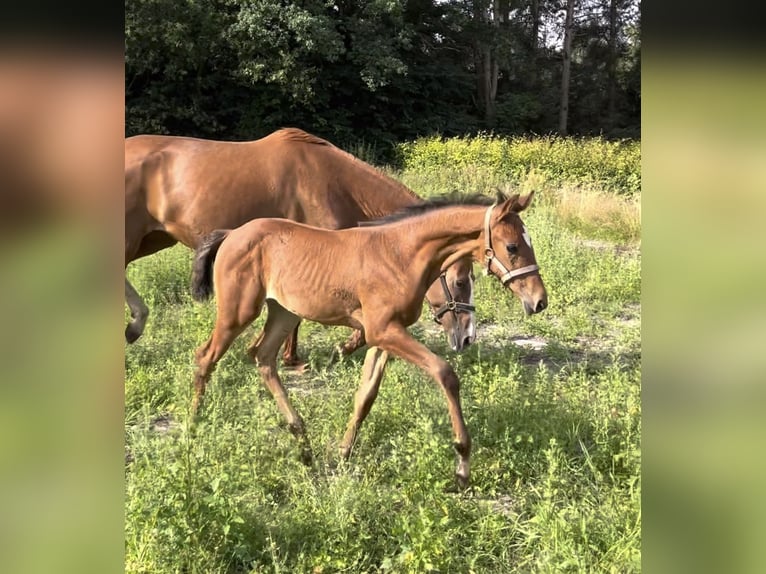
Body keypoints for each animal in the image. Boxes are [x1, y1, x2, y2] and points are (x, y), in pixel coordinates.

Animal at [125, 129, 476, 366]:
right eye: (460, 281)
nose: (466, 338)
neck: (334, 182)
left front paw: (287, 354)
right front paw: (325, 351)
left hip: (153, 237)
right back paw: (135, 324)